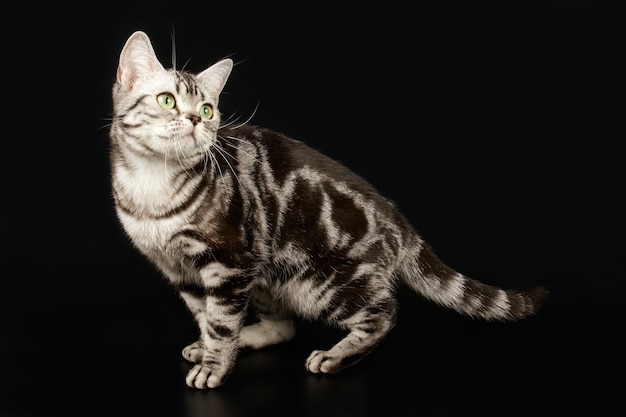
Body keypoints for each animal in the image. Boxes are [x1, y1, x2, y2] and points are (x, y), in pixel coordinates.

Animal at [109, 30, 548, 388]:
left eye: (207, 110)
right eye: (167, 100)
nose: (194, 121)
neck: (152, 188)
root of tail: (400, 221)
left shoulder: (229, 263)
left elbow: (220, 321)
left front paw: (215, 366)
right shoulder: (181, 270)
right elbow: (206, 316)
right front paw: (210, 347)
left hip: (322, 282)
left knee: (384, 312)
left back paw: (334, 357)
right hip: (267, 274)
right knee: (282, 327)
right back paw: (246, 338)